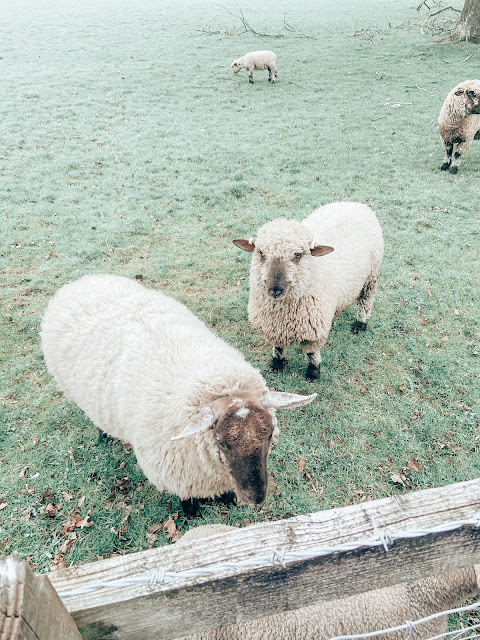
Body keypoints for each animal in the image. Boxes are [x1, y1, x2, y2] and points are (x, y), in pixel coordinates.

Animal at [234, 202, 384, 378]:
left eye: (298, 254)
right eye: (261, 253)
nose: (275, 290)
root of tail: (355, 203)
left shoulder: (314, 332)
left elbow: (311, 352)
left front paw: (313, 372)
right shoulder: (273, 327)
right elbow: (278, 347)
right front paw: (277, 364)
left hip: (371, 276)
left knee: (366, 301)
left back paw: (360, 324)